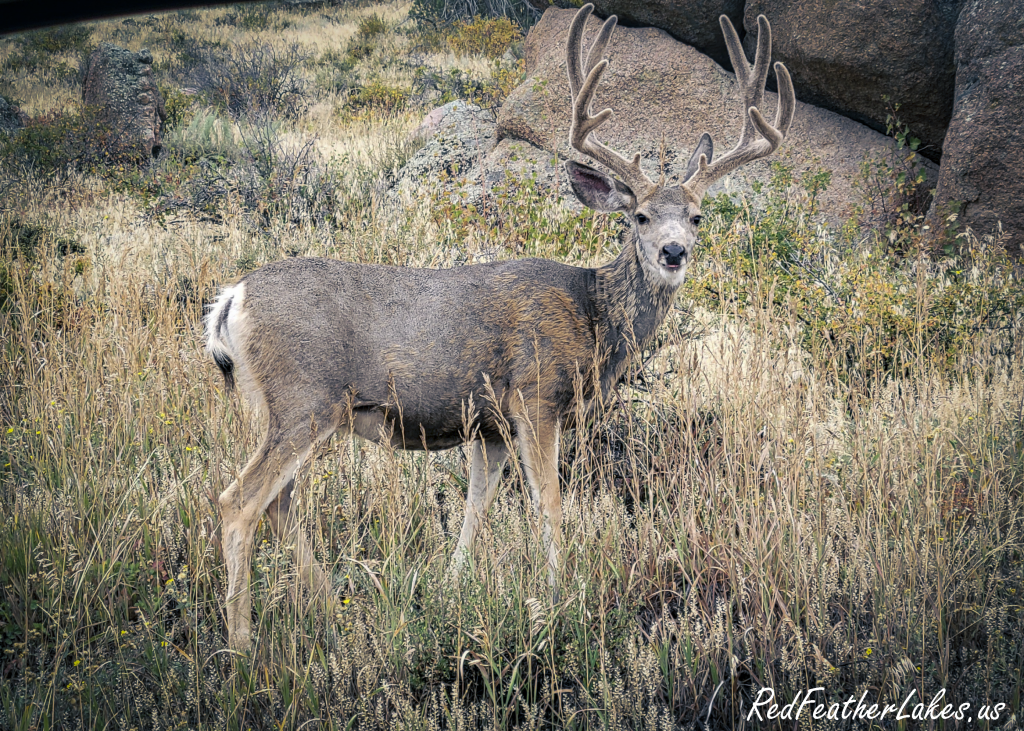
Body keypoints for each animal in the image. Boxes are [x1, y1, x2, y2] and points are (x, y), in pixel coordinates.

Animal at [206, 3, 795, 652]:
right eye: (639, 216)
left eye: (696, 216)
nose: (673, 252)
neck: (591, 315)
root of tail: (231, 298)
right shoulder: (534, 395)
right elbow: (551, 506)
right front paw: (563, 600)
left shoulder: (487, 425)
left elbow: (475, 510)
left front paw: (449, 591)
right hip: (306, 397)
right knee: (238, 501)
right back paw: (242, 644)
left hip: (286, 408)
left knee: (278, 502)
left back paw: (332, 606)